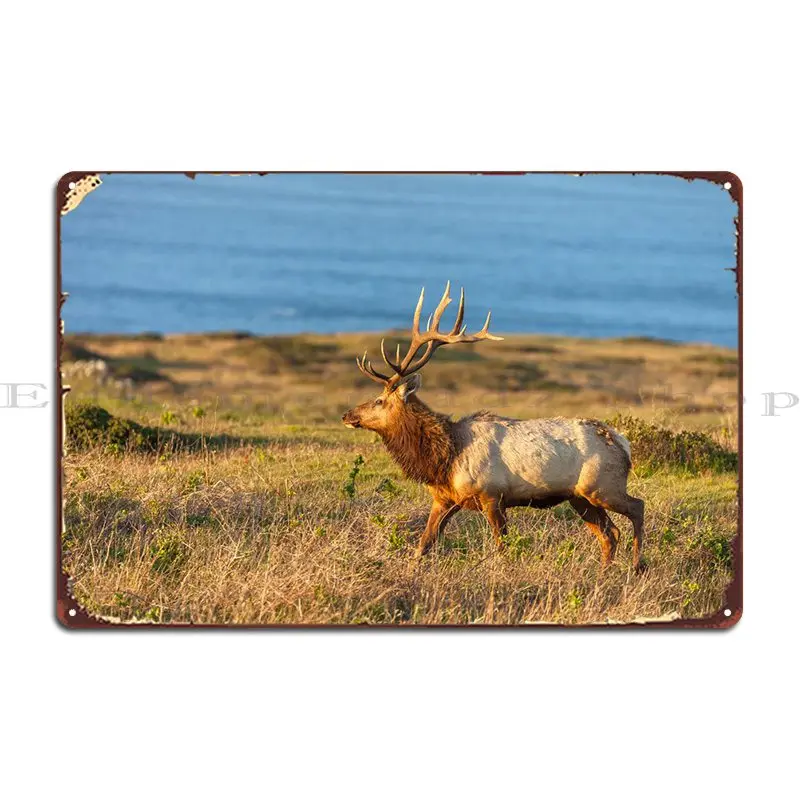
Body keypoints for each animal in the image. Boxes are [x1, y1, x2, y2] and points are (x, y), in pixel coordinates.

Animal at [342, 283, 645, 571]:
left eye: (379, 400)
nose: (347, 414)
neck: (446, 459)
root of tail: (622, 442)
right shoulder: (445, 499)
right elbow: (424, 544)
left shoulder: (492, 495)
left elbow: (502, 546)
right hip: (580, 498)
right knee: (610, 533)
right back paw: (605, 573)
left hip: (603, 486)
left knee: (637, 508)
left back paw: (637, 565)